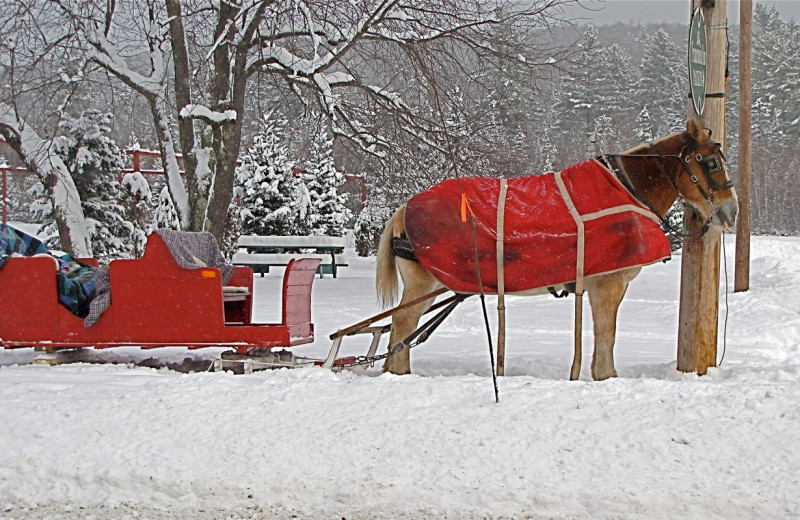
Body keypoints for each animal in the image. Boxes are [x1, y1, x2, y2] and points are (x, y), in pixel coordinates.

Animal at [376, 119, 736, 378]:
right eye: (710, 163)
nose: (731, 211)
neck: (626, 189)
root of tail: (404, 209)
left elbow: (603, 337)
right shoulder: (608, 284)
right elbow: (607, 335)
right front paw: (606, 376)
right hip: (423, 283)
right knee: (402, 324)